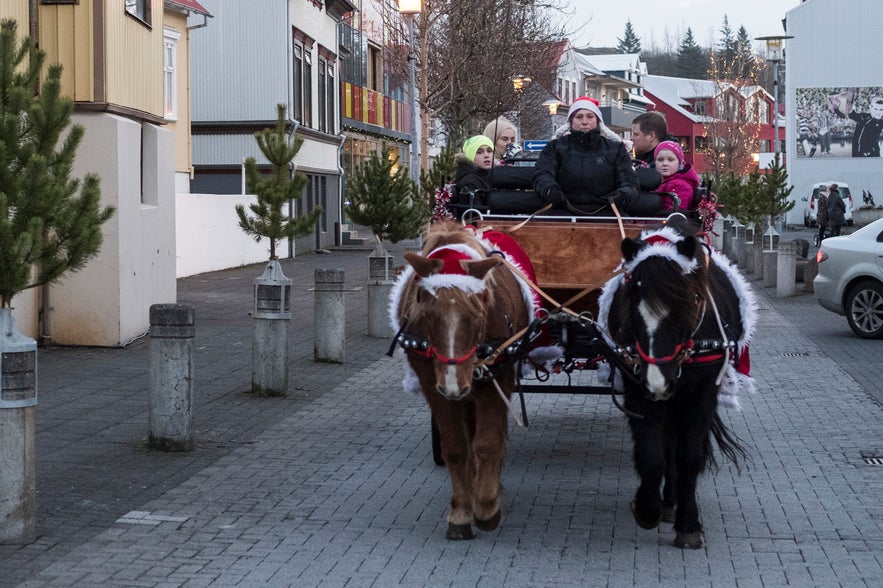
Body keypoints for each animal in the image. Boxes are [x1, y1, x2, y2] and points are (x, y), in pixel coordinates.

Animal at [394, 222, 532, 544]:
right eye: (427, 312)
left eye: (476, 313)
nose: (454, 386)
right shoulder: (433, 383)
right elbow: (457, 447)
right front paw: (460, 511)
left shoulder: (498, 376)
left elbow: (488, 443)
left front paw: (486, 507)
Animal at [600, 217, 760, 552]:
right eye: (631, 305)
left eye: (691, 301)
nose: (659, 382)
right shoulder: (638, 390)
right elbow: (651, 454)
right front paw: (647, 508)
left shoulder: (700, 395)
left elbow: (688, 457)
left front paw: (688, 525)